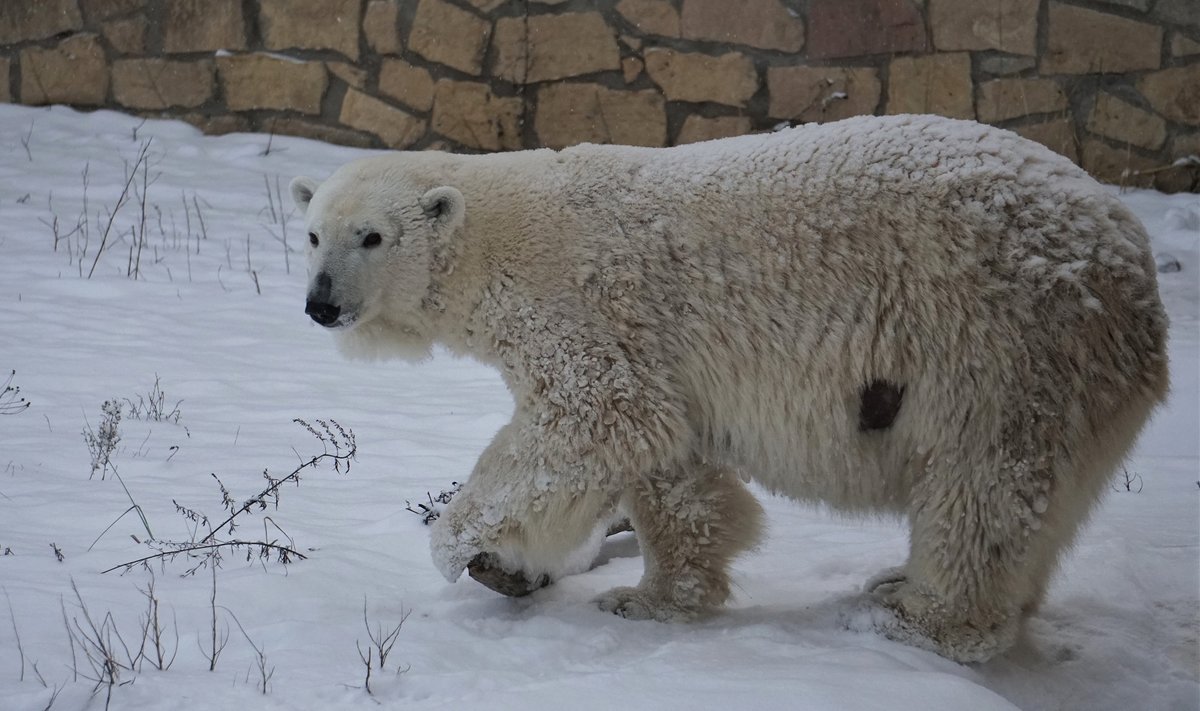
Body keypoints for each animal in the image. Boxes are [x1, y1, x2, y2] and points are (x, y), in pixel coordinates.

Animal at [292, 114, 1171, 662]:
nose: (320, 303)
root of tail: (1129, 255)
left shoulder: (582, 305)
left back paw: (915, 612)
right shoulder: (660, 348)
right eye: (311, 233)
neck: (502, 232)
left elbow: (592, 418)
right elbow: (669, 460)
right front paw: (653, 595)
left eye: (372, 235)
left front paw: (468, 549)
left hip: (1005, 343)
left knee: (979, 486)